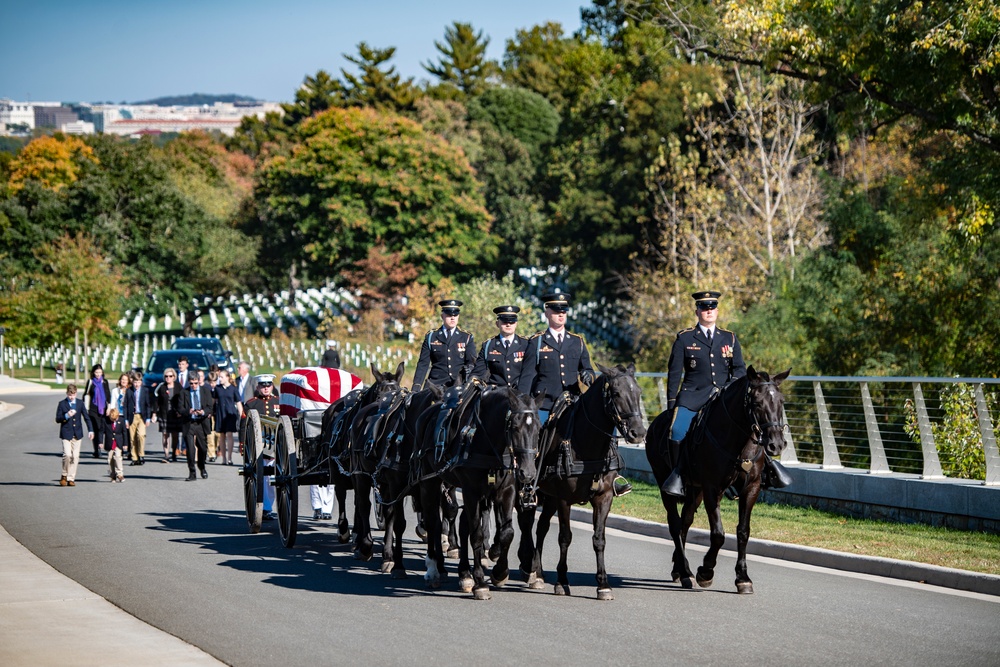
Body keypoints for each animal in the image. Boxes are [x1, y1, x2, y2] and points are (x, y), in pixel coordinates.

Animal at [516, 366, 648, 600]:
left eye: (639, 392)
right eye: (616, 393)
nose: (638, 433)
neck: (587, 445)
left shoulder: (603, 498)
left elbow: (599, 539)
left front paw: (603, 584)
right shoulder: (563, 499)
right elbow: (565, 537)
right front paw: (561, 581)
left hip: (549, 497)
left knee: (541, 527)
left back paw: (538, 572)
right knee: (526, 523)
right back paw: (528, 568)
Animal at [644, 366, 792, 596]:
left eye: (781, 401)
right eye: (757, 402)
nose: (776, 444)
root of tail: (655, 424)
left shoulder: (751, 488)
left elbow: (743, 531)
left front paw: (743, 578)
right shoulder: (712, 488)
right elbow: (718, 534)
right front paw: (705, 572)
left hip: (695, 491)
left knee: (685, 523)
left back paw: (680, 569)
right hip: (665, 484)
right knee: (675, 524)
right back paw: (686, 572)